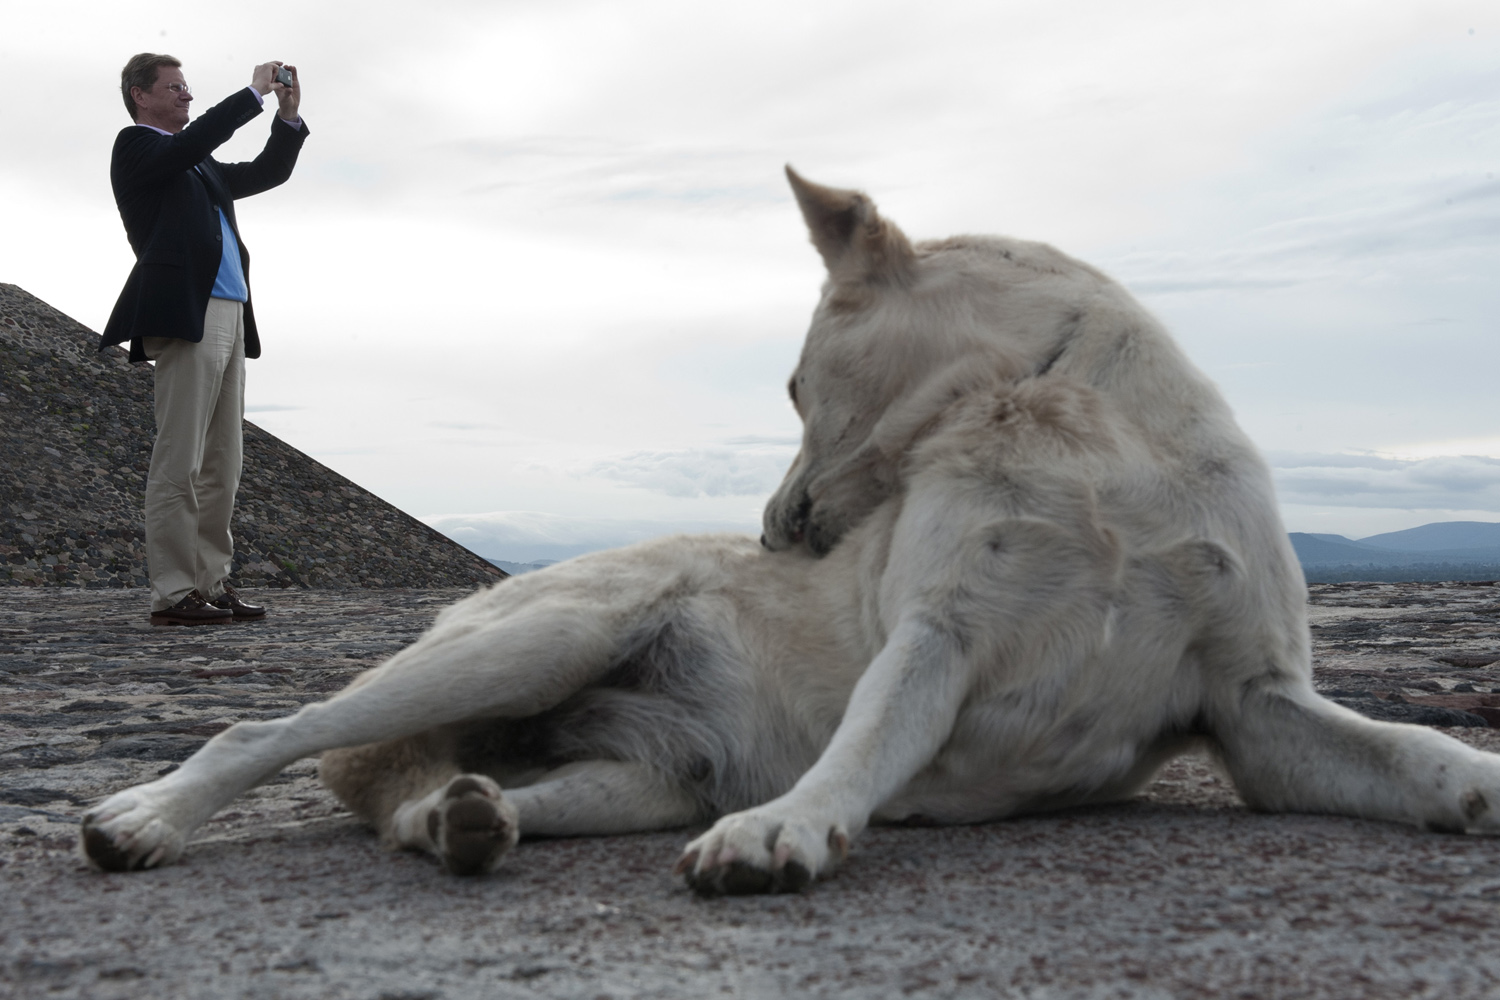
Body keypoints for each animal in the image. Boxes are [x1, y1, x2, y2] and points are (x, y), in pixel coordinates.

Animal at [82, 167, 1500, 893]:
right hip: (534, 641)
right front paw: (790, 831)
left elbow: (1414, 752)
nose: (770, 535)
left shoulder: (1255, 704)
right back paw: (148, 817)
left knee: (431, 804)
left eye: (788, 382)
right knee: (273, 731)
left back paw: (465, 822)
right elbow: (868, 745)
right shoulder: (935, 640)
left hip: (640, 773)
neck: (1071, 427)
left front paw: (1478, 778)